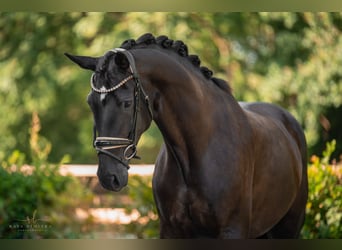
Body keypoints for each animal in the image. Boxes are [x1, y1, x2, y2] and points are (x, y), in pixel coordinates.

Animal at [65, 33, 308, 238]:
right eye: (91, 103)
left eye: (126, 103)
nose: (109, 177)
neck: (196, 152)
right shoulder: (171, 230)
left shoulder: (232, 230)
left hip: (288, 227)